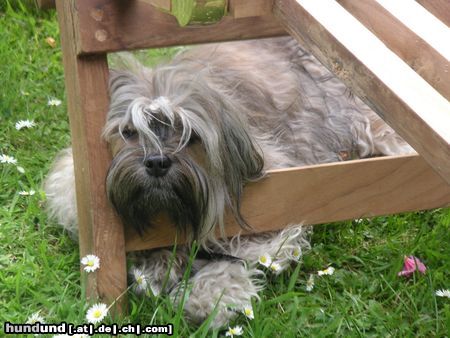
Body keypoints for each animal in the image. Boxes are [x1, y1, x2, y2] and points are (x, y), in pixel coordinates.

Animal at [44, 37, 414, 328]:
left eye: (190, 135)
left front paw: (204, 299)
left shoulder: (274, 210)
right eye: (129, 132)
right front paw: (158, 269)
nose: (157, 163)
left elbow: (236, 258)